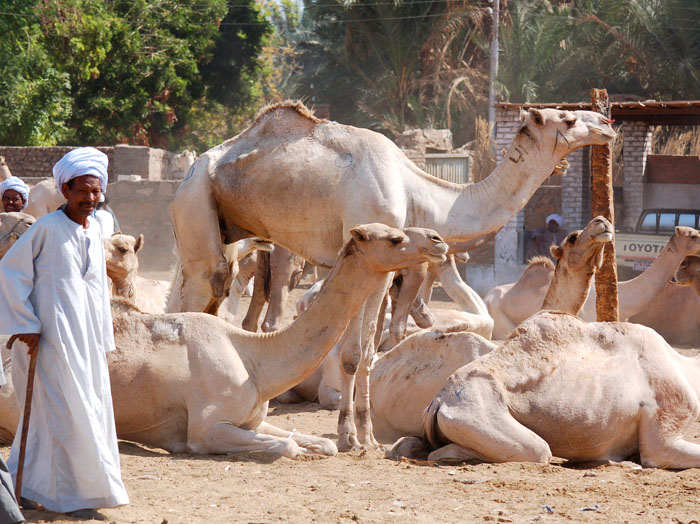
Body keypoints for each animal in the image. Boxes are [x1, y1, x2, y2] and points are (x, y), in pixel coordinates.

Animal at [0, 223, 448, 456]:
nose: (438, 241)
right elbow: (288, 447)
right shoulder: (206, 429)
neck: (254, 358)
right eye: (395, 238)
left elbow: (312, 443)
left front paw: (339, 445)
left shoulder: (252, 418)